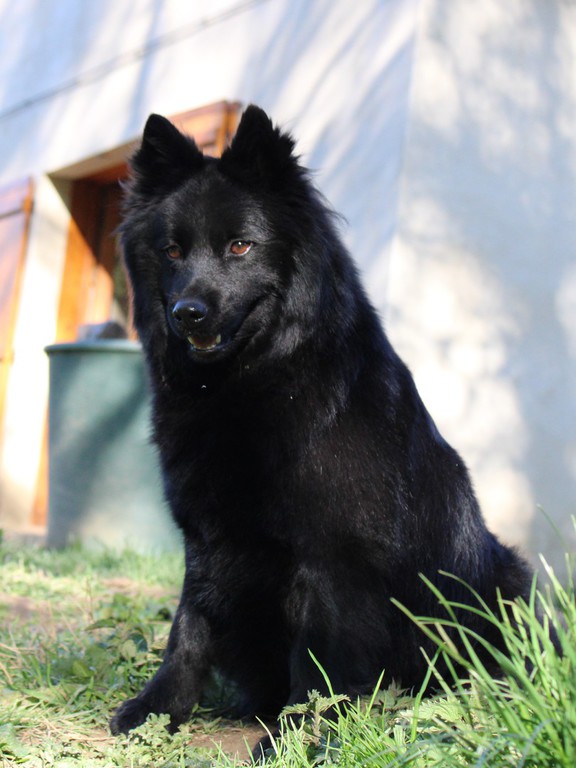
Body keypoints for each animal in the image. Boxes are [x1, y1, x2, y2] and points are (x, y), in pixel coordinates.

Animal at [110, 106, 533, 755]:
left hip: (504, 585)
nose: (188, 314)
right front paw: (158, 709)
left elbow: (317, 660)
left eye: (240, 245)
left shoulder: (334, 556)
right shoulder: (206, 539)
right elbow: (189, 628)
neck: (250, 388)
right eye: (173, 250)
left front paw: (300, 734)